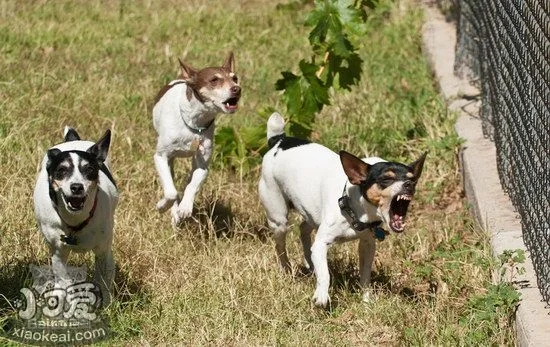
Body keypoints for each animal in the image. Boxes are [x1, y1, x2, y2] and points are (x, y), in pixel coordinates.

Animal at [33, 128, 118, 308]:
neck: (76, 220)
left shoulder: (103, 252)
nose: (77, 187)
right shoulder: (58, 254)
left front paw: (105, 306)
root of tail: (73, 140)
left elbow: (103, 281)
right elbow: (64, 280)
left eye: (89, 169)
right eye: (61, 170)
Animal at [258, 113, 426, 308]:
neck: (352, 206)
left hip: (310, 212)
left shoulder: (367, 244)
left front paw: (366, 300)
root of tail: (279, 140)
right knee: (281, 245)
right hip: (278, 218)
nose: (409, 185)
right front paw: (322, 296)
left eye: (413, 179)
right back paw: (286, 269)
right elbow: (325, 274)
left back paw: (309, 262)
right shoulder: (322, 243)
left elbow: (365, 275)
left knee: (304, 229)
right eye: (386, 179)